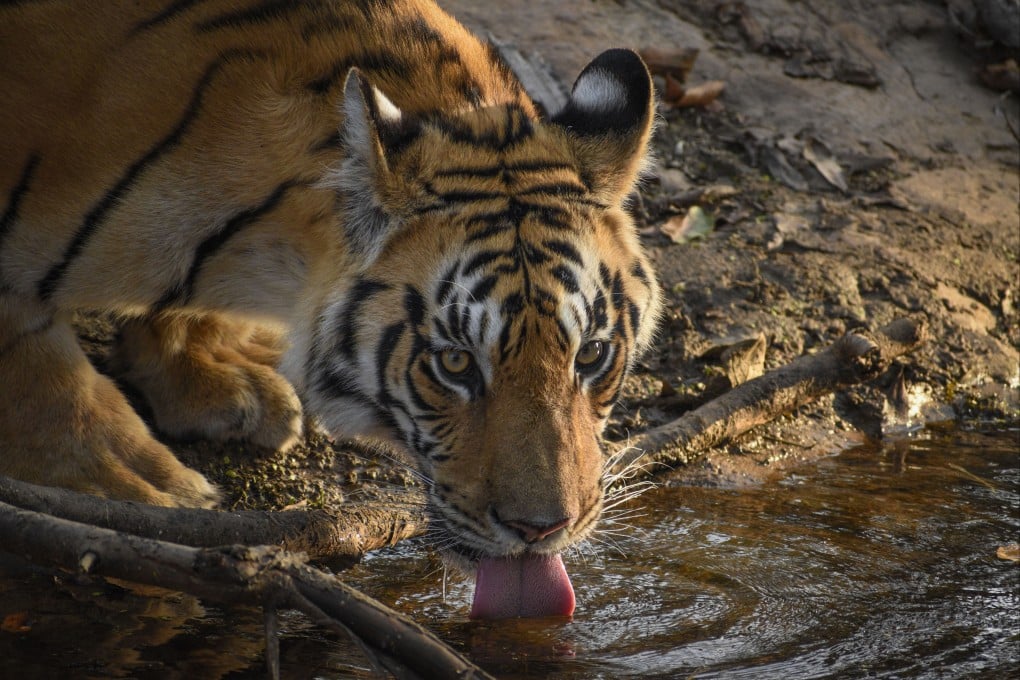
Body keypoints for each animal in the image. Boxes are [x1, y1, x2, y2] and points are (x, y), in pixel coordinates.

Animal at [0, 0, 661, 619]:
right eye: (454, 363)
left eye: (591, 354)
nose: (541, 530)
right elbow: (32, 348)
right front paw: (129, 481)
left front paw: (221, 380)